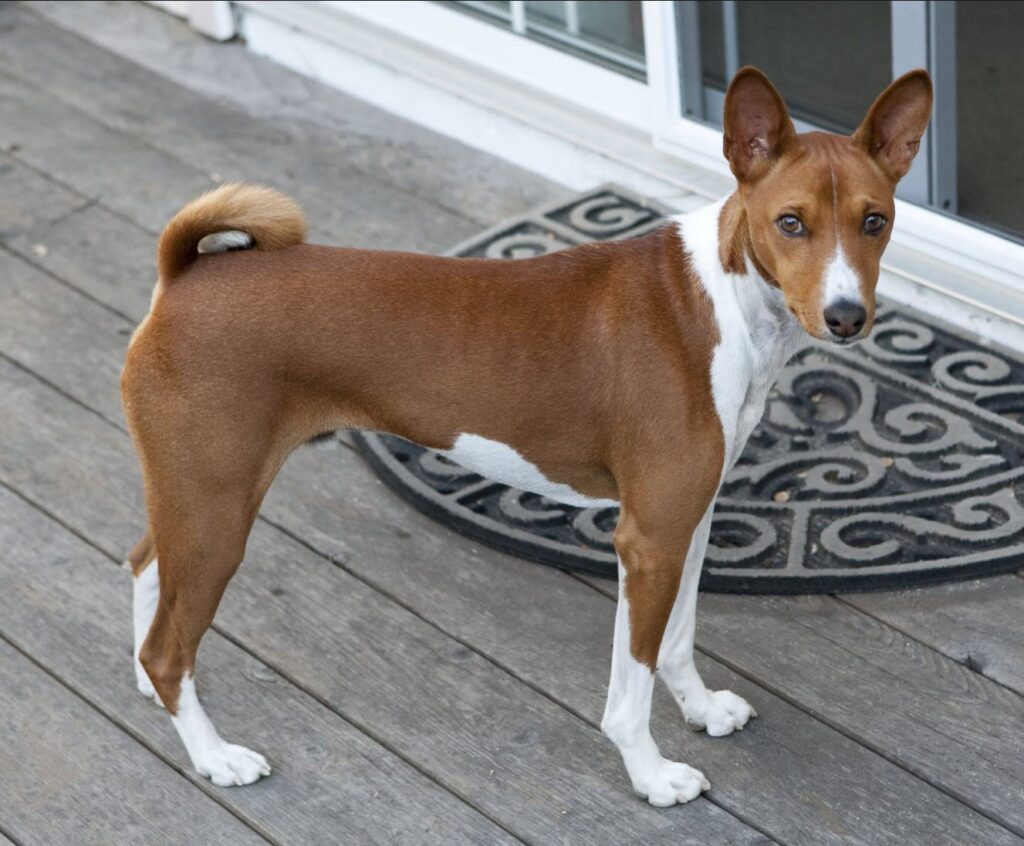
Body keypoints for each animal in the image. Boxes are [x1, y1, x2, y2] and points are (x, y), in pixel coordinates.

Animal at [117, 67, 929, 802]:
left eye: (875, 222)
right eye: (791, 223)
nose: (847, 315)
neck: (722, 300)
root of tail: (183, 278)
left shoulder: (688, 522)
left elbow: (677, 638)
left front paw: (700, 710)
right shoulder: (649, 539)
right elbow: (631, 683)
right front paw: (652, 775)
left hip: (189, 496)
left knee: (146, 569)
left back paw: (149, 689)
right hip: (219, 510)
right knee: (170, 646)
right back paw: (214, 754)